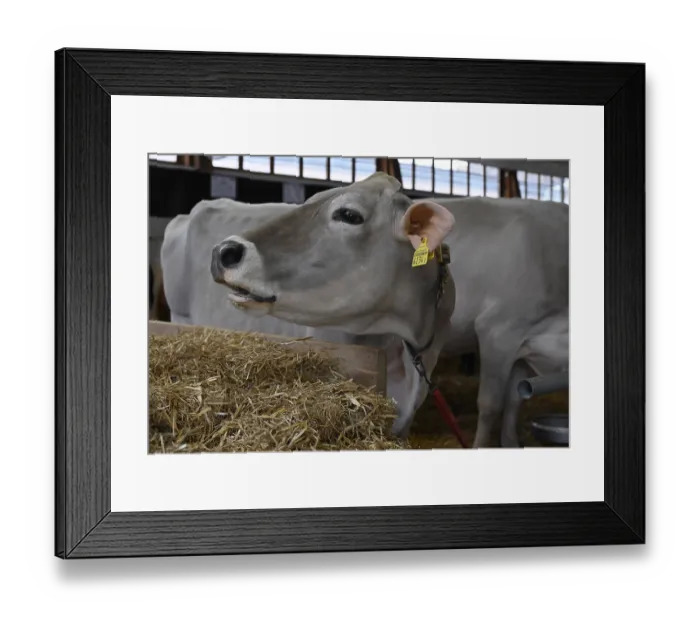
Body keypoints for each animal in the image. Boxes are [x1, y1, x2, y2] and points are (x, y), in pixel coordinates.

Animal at [162, 172, 569, 447]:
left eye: (348, 215)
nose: (224, 251)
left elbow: (513, 401)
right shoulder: (499, 328)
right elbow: (492, 404)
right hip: (179, 318)